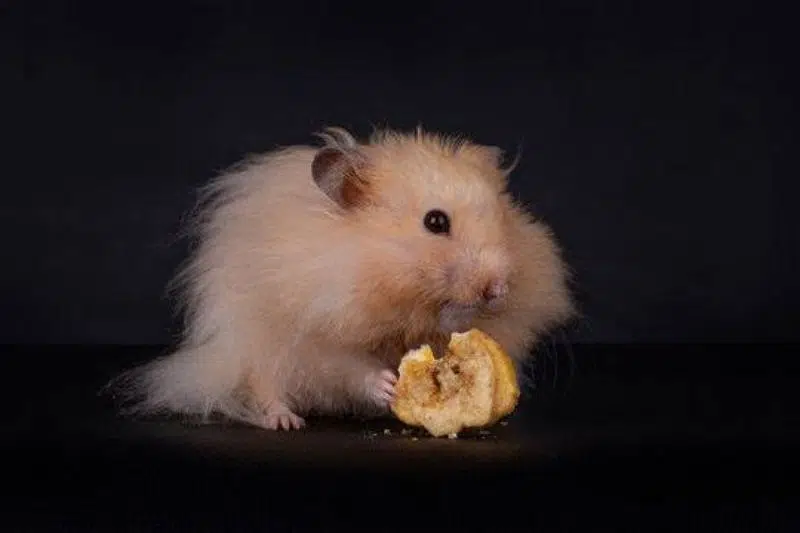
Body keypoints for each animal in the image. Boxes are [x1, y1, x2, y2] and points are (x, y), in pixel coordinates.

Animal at [107, 126, 575, 430]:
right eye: (435, 222)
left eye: (504, 218)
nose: (498, 289)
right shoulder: (315, 333)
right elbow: (347, 366)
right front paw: (388, 385)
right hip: (251, 344)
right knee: (261, 384)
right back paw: (286, 421)